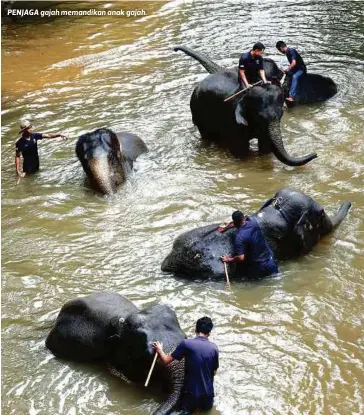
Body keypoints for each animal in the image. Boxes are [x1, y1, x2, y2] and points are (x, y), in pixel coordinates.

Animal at [173, 46, 336, 167]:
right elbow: (241, 150)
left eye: (281, 115)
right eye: (260, 117)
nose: (316, 153)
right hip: (197, 112)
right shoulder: (232, 119)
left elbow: (265, 146)